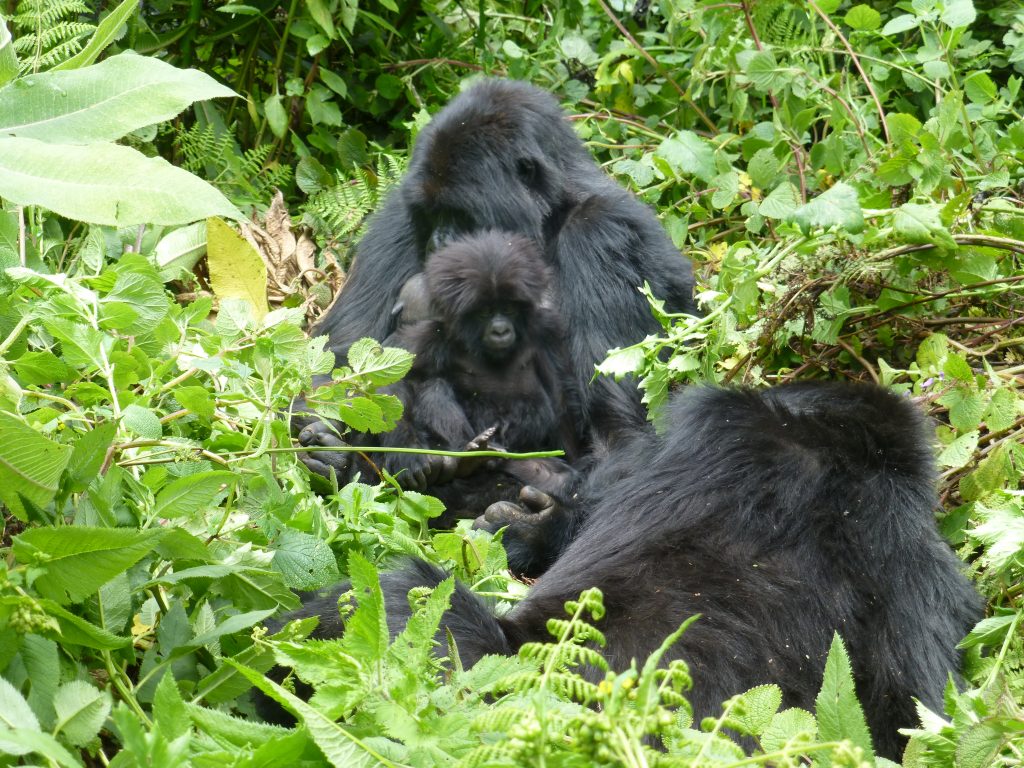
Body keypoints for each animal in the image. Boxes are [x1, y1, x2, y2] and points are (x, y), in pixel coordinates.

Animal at [299, 79, 696, 475]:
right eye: (431, 214)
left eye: (462, 216)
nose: (438, 242)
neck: (549, 218)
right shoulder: (398, 213)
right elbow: (341, 357)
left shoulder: (602, 229)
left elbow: (614, 426)